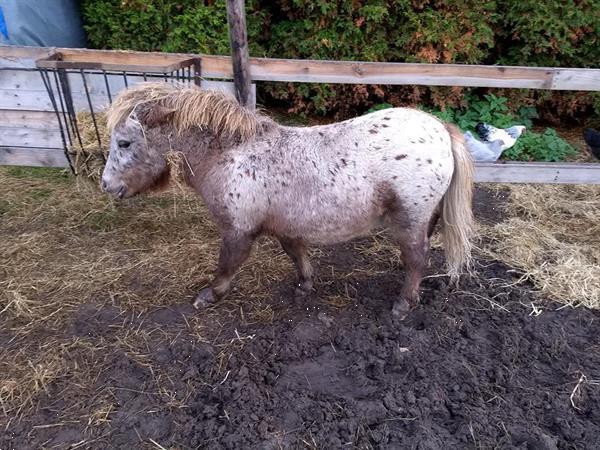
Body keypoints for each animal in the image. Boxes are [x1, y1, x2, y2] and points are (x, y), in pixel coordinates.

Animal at [101, 82, 474, 318]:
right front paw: (305, 285)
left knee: (417, 257)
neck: (232, 155)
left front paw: (209, 295)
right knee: (420, 250)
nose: (107, 185)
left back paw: (404, 304)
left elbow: (227, 266)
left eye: (124, 143)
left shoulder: (238, 231)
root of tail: (440, 128)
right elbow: (296, 255)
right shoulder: (286, 226)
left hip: (410, 216)